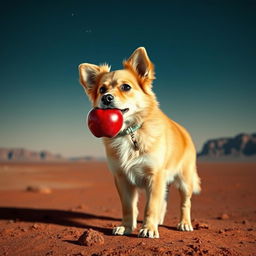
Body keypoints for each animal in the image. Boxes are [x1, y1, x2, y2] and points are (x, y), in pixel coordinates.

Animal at [78, 47, 200, 238]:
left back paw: (184, 223)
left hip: (185, 181)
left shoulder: (155, 177)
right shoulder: (122, 178)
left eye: (126, 87)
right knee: (164, 202)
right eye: (101, 89)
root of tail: (184, 132)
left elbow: (151, 206)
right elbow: (129, 207)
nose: (106, 98)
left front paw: (148, 228)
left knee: (185, 203)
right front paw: (127, 227)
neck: (130, 132)